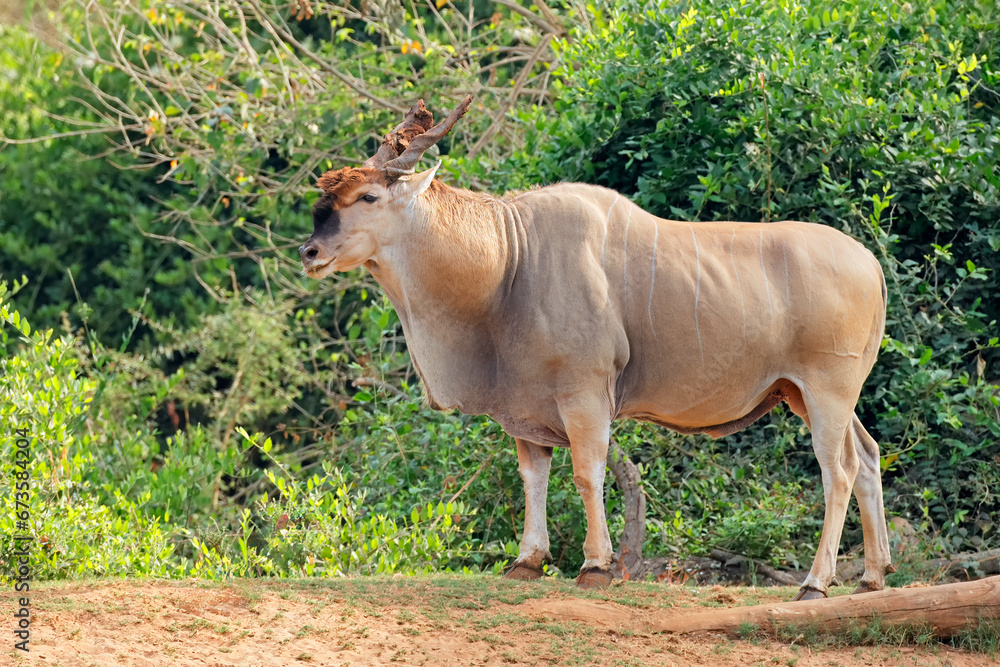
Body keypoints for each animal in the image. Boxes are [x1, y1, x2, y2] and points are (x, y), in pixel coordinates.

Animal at [300, 95, 896, 600]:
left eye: (369, 196)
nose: (309, 252)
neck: (508, 257)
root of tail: (870, 264)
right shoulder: (526, 407)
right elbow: (534, 478)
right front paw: (527, 561)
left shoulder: (584, 395)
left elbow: (587, 474)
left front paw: (595, 566)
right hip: (804, 393)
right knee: (868, 457)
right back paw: (872, 577)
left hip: (827, 390)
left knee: (838, 469)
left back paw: (816, 583)